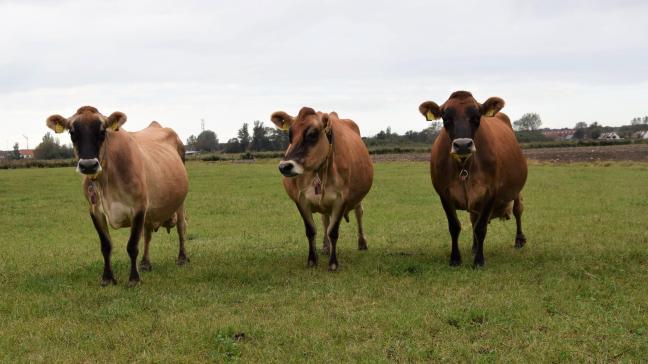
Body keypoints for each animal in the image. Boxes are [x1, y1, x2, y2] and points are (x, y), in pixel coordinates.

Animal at [46, 105, 189, 284]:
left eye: (102, 131)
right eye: (72, 132)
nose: (88, 165)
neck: (106, 183)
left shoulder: (139, 207)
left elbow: (132, 246)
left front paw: (134, 279)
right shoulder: (95, 210)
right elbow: (106, 246)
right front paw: (107, 278)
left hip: (180, 201)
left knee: (181, 227)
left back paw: (182, 258)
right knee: (148, 234)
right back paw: (145, 263)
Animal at [270, 106, 372, 272]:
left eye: (312, 134)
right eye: (290, 135)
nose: (285, 166)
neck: (318, 171)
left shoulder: (341, 199)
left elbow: (334, 231)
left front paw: (333, 263)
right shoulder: (300, 200)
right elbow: (311, 230)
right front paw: (312, 260)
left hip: (357, 198)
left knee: (359, 213)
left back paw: (362, 242)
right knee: (325, 219)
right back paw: (325, 246)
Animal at [420, 91, 528, 266]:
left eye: (477, 117)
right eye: (446, 118)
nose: (463, 145)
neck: (464, 166)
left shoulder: (491, 192)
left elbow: (481, 228)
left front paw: (479, 260)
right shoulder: (444, 193)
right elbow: (455, 226)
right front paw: (455, 259)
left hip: (516, 191)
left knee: (518, 210)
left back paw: (519, 240)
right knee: (473, 219)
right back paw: (475, 246)